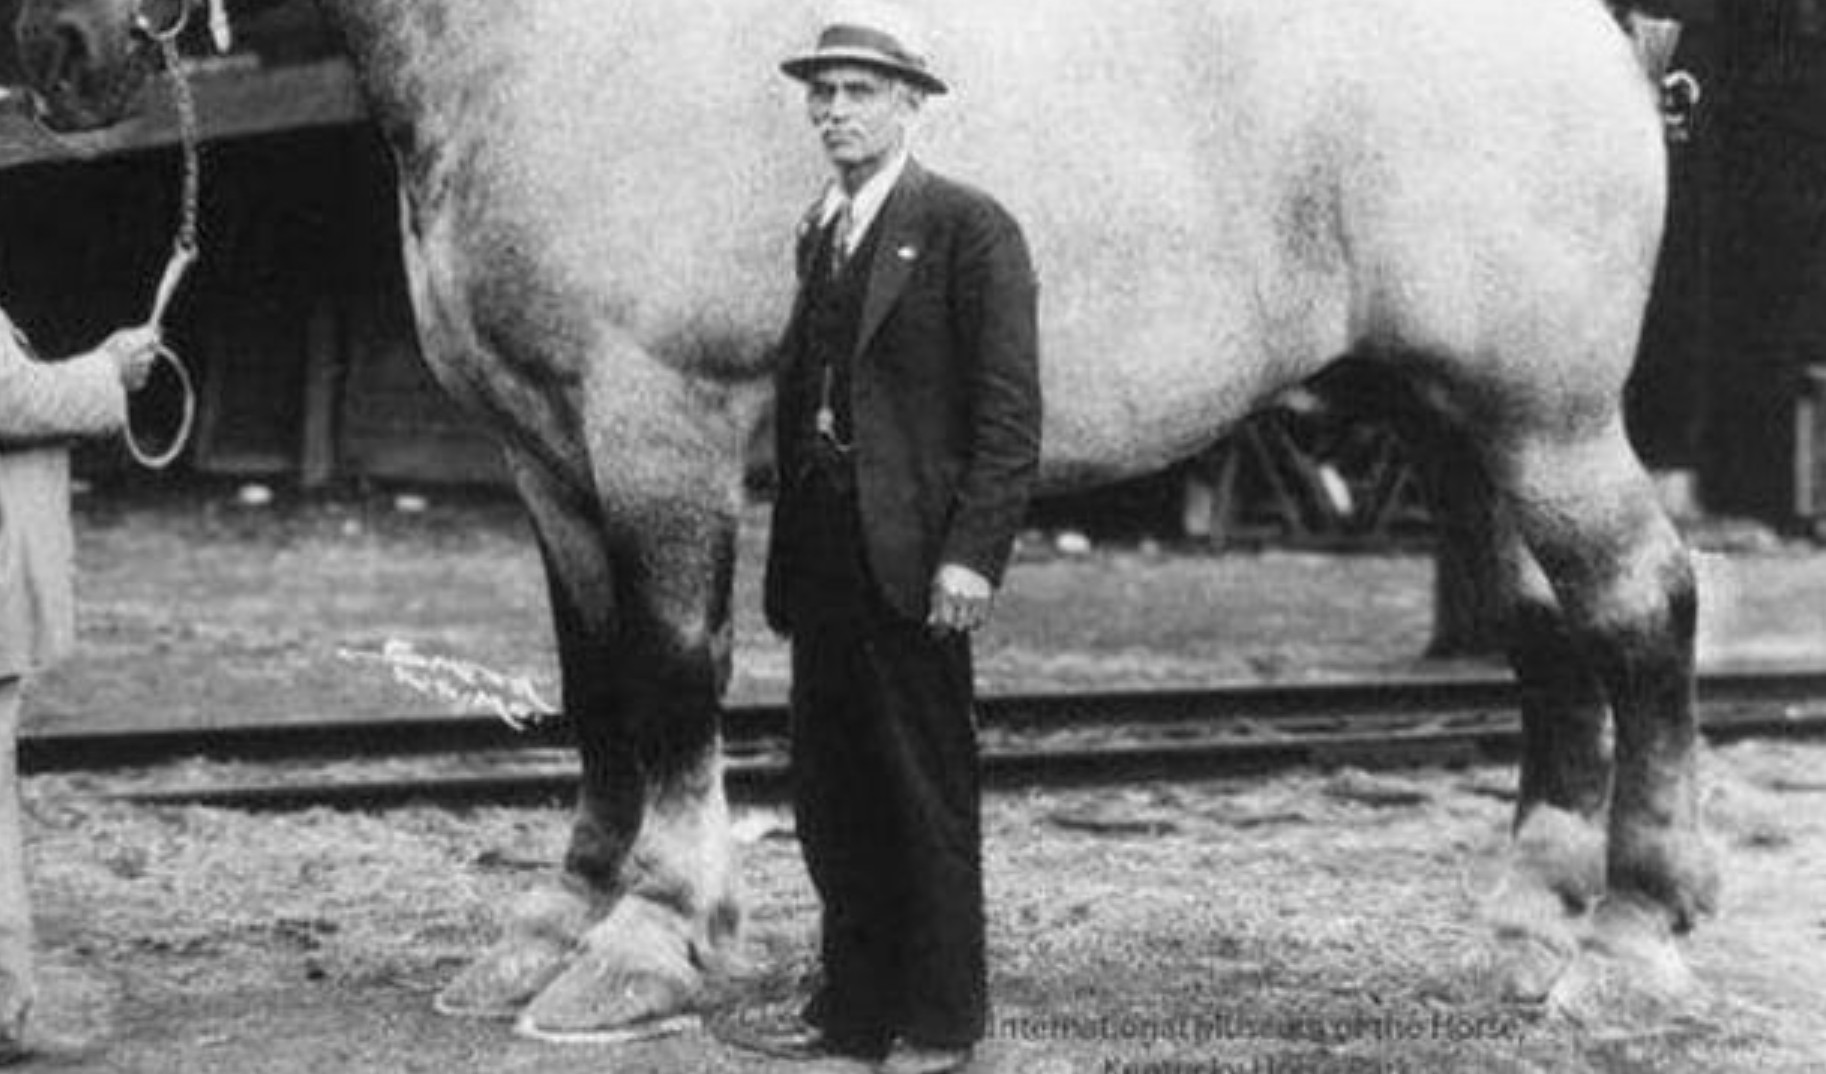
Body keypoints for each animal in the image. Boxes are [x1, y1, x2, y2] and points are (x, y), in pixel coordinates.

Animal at [11, 0, 1716, 1042]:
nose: (65, 48)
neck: (550, 51)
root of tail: (1603, 44)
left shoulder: (657, 424)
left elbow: (671, 677)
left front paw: (650, 941)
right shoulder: (542, 454)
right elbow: (593, 685)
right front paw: (553, 923)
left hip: (1541, 415)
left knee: (1641, 607)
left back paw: (1634, 941)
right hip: (1452, 420)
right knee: (1545, 634)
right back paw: (1527, 923)